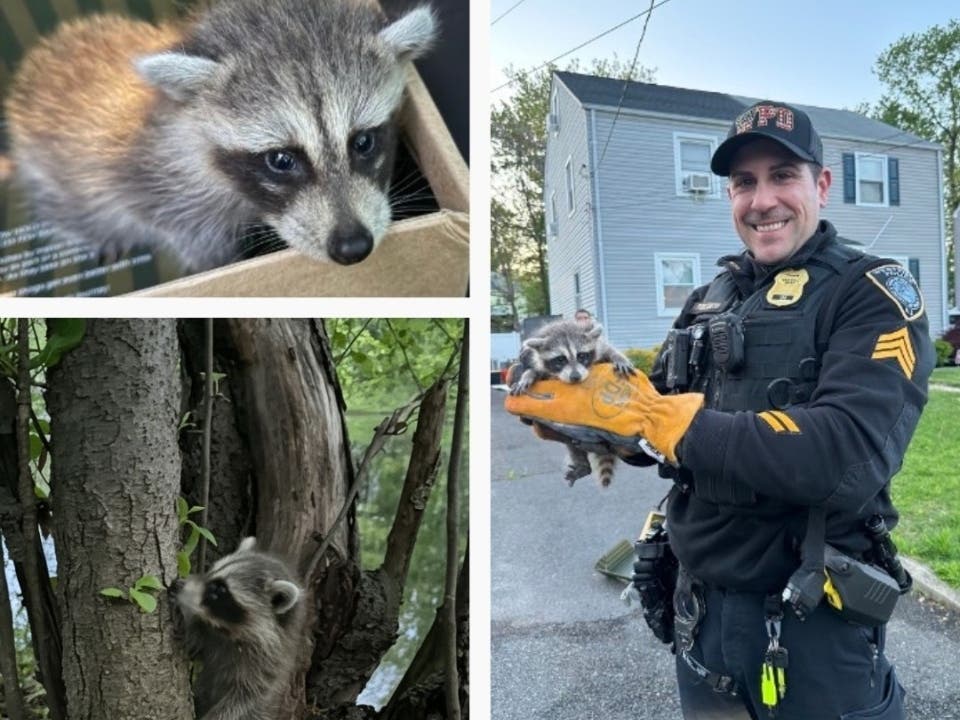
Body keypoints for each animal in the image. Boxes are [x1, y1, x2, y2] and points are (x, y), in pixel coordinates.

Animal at [169, 537, 306, 720]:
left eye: (219, 590)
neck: (228, 631)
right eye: (211, 570)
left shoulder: (264, 668)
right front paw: (192, 633)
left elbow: (242, 702)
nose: (177, 585)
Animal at [510, 319, 635, 487]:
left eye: (581, 356)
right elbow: (535, 370)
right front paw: (527, 375)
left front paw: (618, 357)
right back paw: (583, 464)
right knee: (571, 443)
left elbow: (608, 349)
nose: (575, 376)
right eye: (560, 359)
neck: (564, 328)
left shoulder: (598, 345)